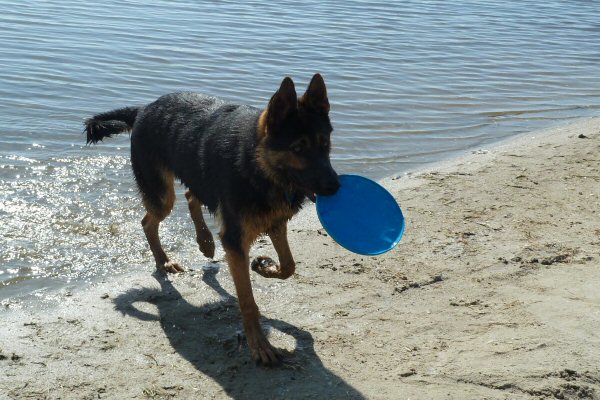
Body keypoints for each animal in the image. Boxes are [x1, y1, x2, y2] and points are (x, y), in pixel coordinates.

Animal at [83, 73, 342, 364]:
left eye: (325, 144)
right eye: (297, 148)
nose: (336, 186)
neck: (256, 161)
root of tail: (144, 109)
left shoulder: (275, 223)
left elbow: (289, 266)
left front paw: (265, 267)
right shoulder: (235, 241)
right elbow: (247, 300)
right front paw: (259, 345)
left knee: (189, 195)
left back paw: (205, 241)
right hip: (162, 197)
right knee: (148, 221)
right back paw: (164, 260)